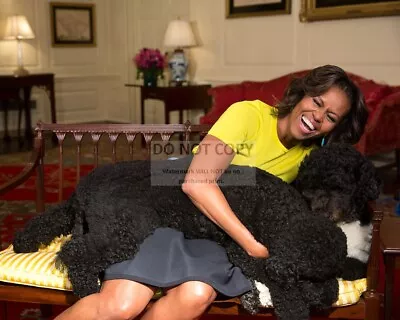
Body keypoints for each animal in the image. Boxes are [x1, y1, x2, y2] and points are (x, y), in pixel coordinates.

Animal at [12, 144, 380, 318]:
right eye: (305, 272)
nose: (321, 298)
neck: (282, 212)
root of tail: (85, 187)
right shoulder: (246, 251)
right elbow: (283, 287)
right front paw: (298, 306)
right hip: (129, 228)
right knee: (74, 253)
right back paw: (88, 289)